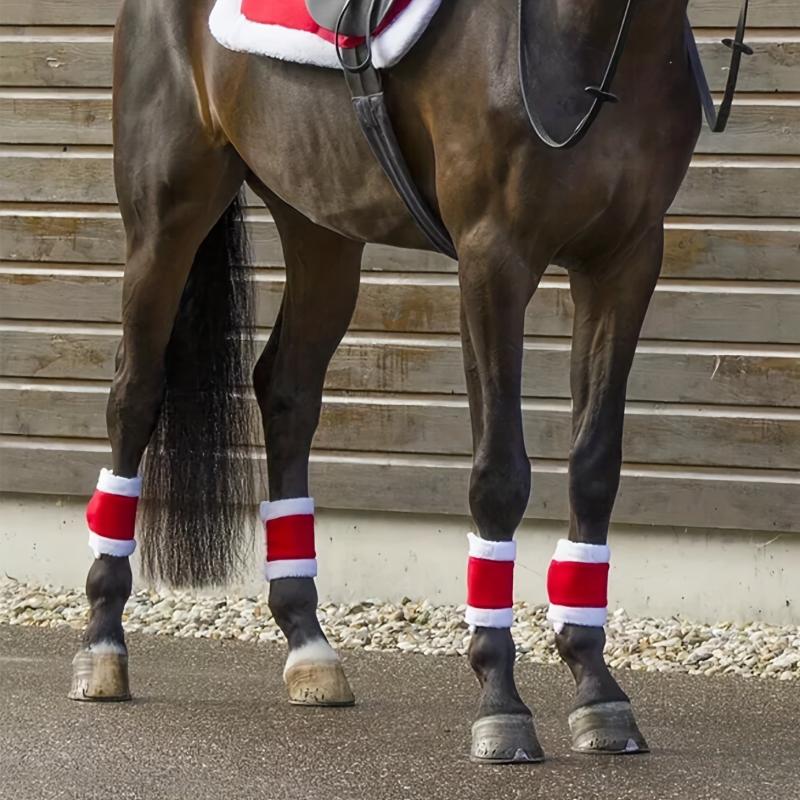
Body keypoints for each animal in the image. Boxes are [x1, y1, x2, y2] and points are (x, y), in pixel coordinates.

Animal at [69, 0, 738, 763]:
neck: (586, 36)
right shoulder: (493, 259)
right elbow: (499, 476)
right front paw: (500, 703)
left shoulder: (624, 261)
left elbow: (595, 468)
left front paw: (597, 688)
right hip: (167, 216)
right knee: (134, 395)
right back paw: (103, 646)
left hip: (319, 223)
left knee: (287, 390)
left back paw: (309, 648)